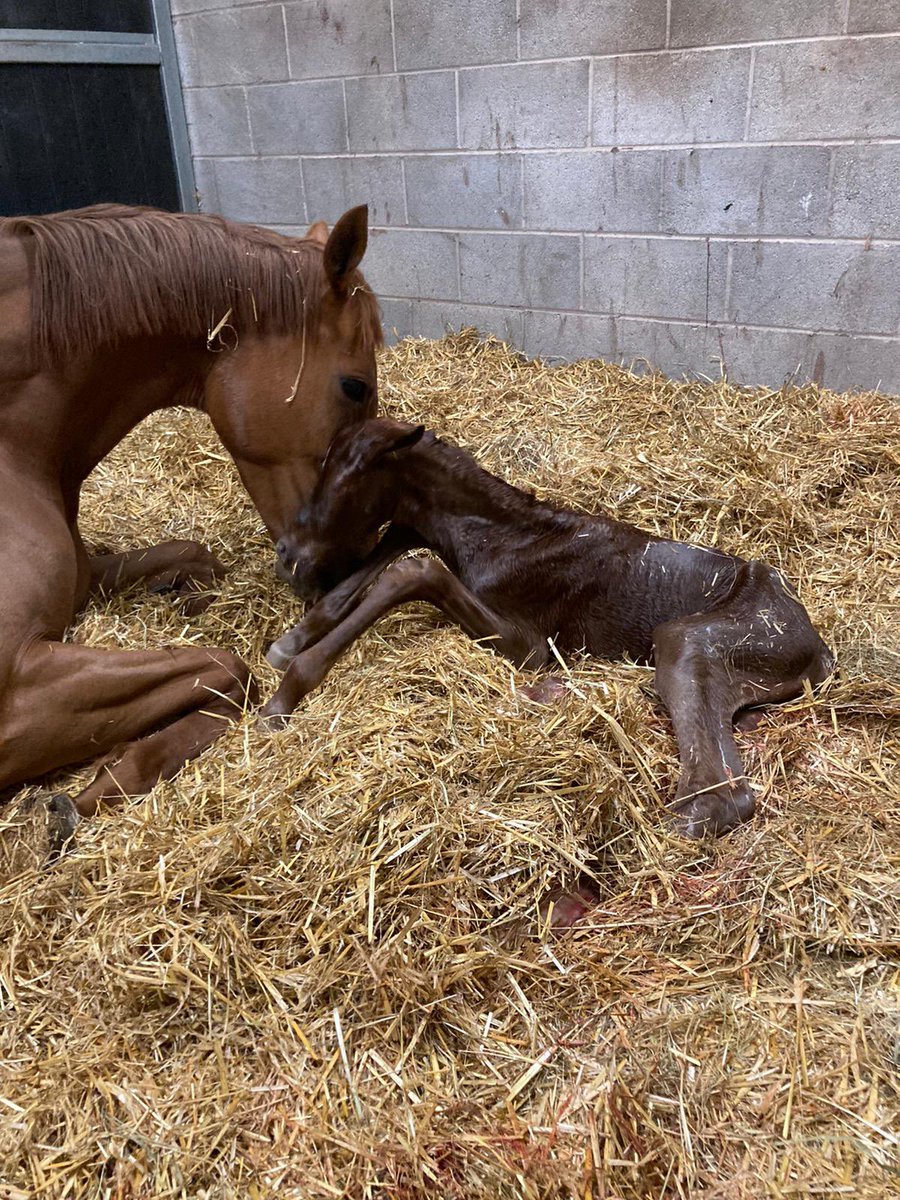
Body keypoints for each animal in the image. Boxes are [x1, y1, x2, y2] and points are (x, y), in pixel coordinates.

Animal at [0, 202, 382, 840]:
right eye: (355, 385)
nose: (344, 569)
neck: (14, 447)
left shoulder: (84, 579)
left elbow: (194, 557)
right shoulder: (14, 681)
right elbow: (228, 668)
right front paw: (89, 792)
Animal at [262, 418, 834, 840]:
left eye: (345, 475)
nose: (287, 552)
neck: (506, 535)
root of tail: (818, 647)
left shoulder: (535, 644)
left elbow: (412, 570)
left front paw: (286, 692)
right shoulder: (415, 530)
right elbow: (393, 548)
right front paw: (288, 643)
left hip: (693, 640)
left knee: (721, 795)